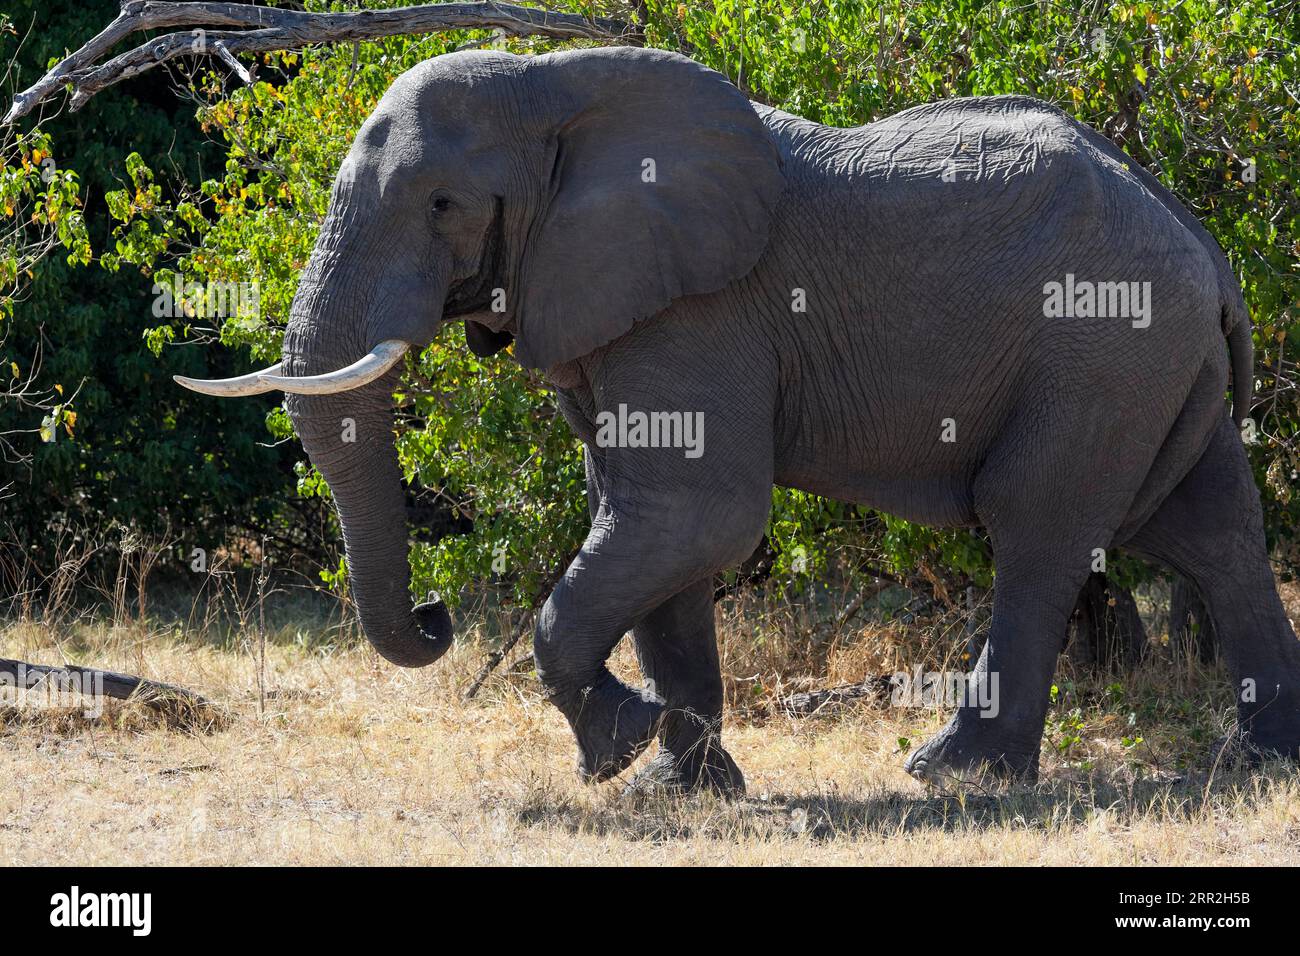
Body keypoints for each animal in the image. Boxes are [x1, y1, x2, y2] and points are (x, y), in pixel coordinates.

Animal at [176, 45, 1300, 795]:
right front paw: (681, 787)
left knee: (1036, 528)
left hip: (1100, 350)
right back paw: (1260, 760)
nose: (437, 614)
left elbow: (692, 514)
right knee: (1209, 530)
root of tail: (1209, 250)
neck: (554, 83)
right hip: (1150, 363)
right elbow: (651, 528)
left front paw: (618, 749)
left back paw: (949, 773)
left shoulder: (700, 308)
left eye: (442, 204)